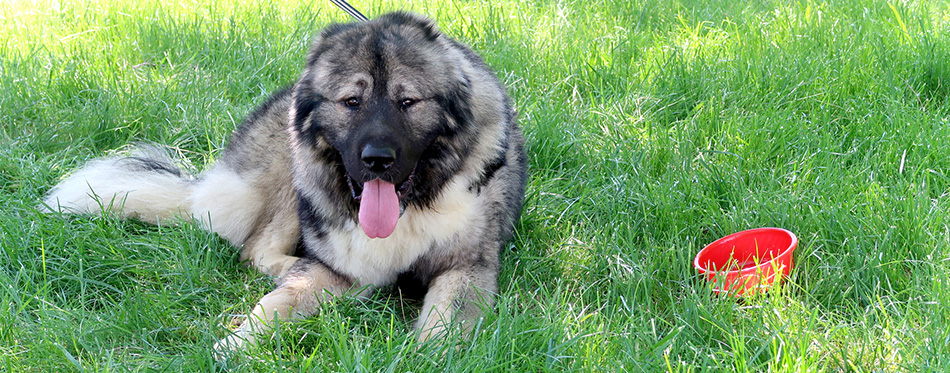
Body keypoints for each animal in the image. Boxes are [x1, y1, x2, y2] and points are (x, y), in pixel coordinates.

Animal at [41, 11, 528, 352]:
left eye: (407, 101)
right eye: (351, 102)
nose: (376, 160)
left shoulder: (466, 268)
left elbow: (443, 328)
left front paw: (425, 354)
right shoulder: (338, 268)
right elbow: (275, 305)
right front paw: (236, 343)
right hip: (291, 173)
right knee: (255, 248)